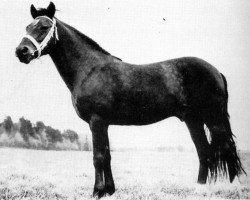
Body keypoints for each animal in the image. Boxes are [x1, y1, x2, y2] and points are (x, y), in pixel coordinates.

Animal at [16, 1, 246, 198]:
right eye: (28, 26)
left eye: (44, 26)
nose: (21, 51)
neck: (89, 69)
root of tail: (216, 71)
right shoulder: (103, 123)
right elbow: (107, 155)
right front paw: (109, 190)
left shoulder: (97, 121)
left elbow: (98, 157)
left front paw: (97, 191)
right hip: (193, 120)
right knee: (204, 152)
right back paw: (198, 188)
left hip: (213, 119)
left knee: (226, 149)